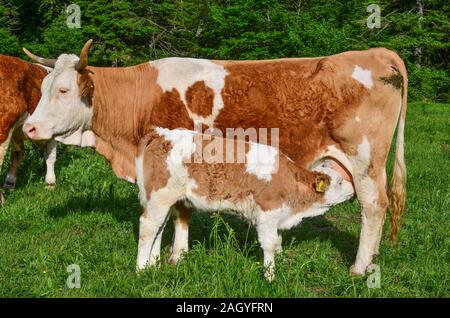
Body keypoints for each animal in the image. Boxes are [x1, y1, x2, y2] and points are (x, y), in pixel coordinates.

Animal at [134, 127, 356, 280]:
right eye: (339, 181)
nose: (353, 189)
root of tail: (160, 133)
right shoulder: (267, 212)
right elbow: (269, 244)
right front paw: (270, 276)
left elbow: (277, 241)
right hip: (160, 197)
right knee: (148, 227)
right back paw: (141, 269)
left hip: (163, 200)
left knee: (159, 228)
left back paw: (153, 264)